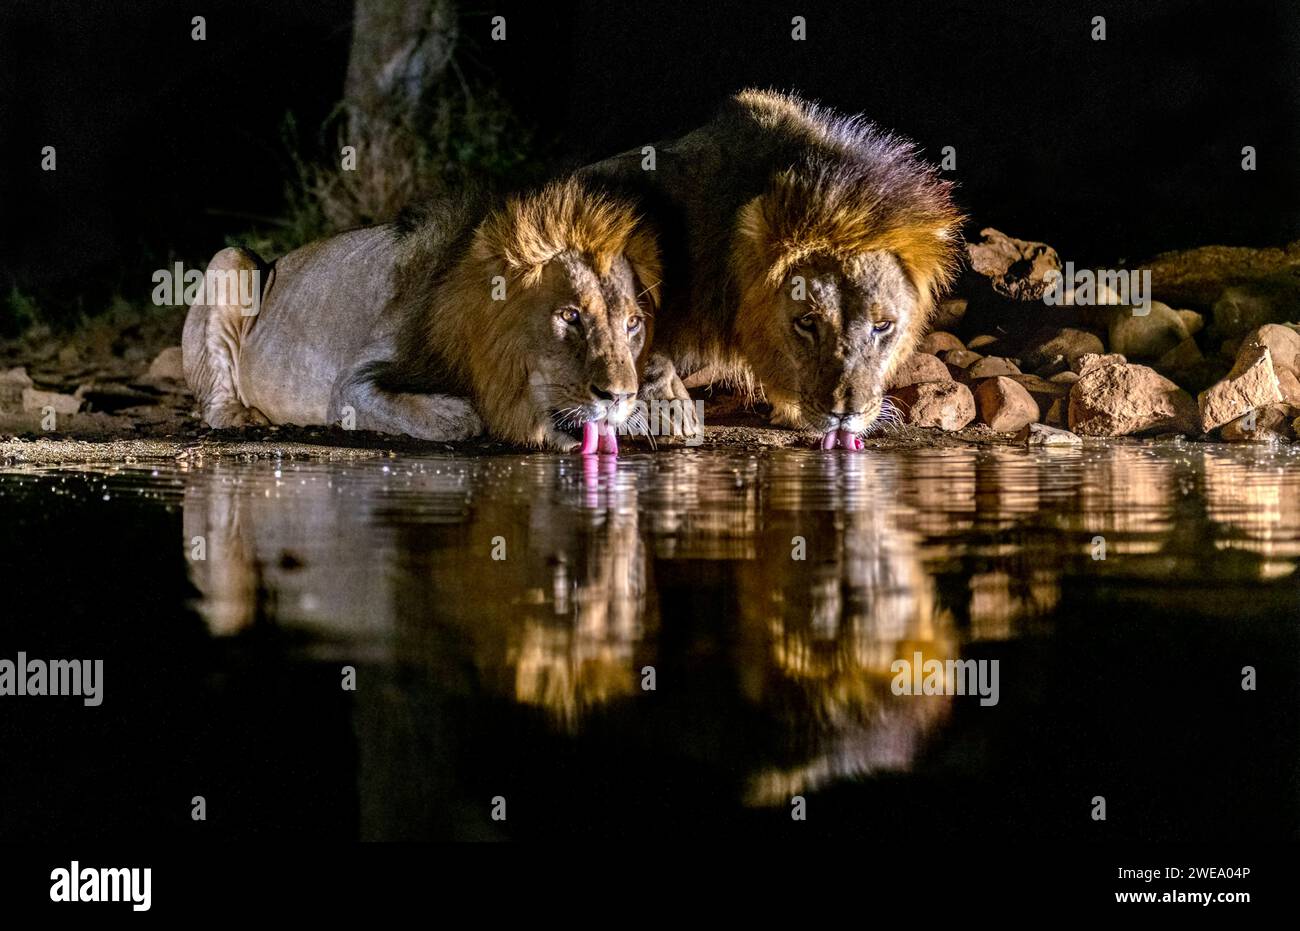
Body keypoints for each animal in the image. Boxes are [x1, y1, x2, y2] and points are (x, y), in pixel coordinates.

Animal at [182, 178, 662, 453]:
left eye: (632, 324)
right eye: (570, 316)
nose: (619, 397)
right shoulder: (350, 390)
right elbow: (463, 417)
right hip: (232, 258)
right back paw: (243, 417)